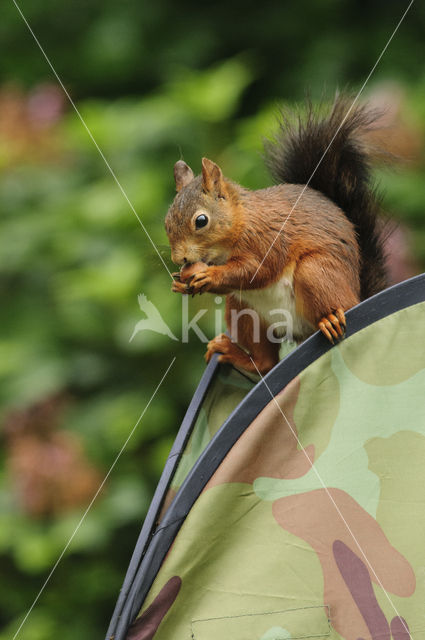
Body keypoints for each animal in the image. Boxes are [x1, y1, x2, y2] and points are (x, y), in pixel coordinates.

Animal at [164, 96, 386, 376]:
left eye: (201, 221)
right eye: (166, 222)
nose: (179, 259)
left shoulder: (267, 239)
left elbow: (258, 270)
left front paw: (208, 275)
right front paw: (179, 284)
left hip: (317, 273)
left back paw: (330, 319)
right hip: (244, 310)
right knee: (267, 361)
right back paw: (235, 354)